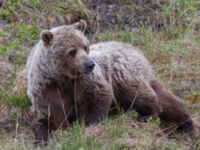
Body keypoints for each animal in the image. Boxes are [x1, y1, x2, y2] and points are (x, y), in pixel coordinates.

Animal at [26, 20, 194, 144]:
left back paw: (151, 116)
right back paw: (185, 124)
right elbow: (50, 116)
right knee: (168, 101)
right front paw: (42, 136)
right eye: (71, 51)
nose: (90, 64)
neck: (62, 77)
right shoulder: (47, 89)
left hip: (123, 74)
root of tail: (135, 50)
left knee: (141, 94)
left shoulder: (84, 81)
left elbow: (98, 96)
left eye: (85, 46)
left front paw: (86, 125)